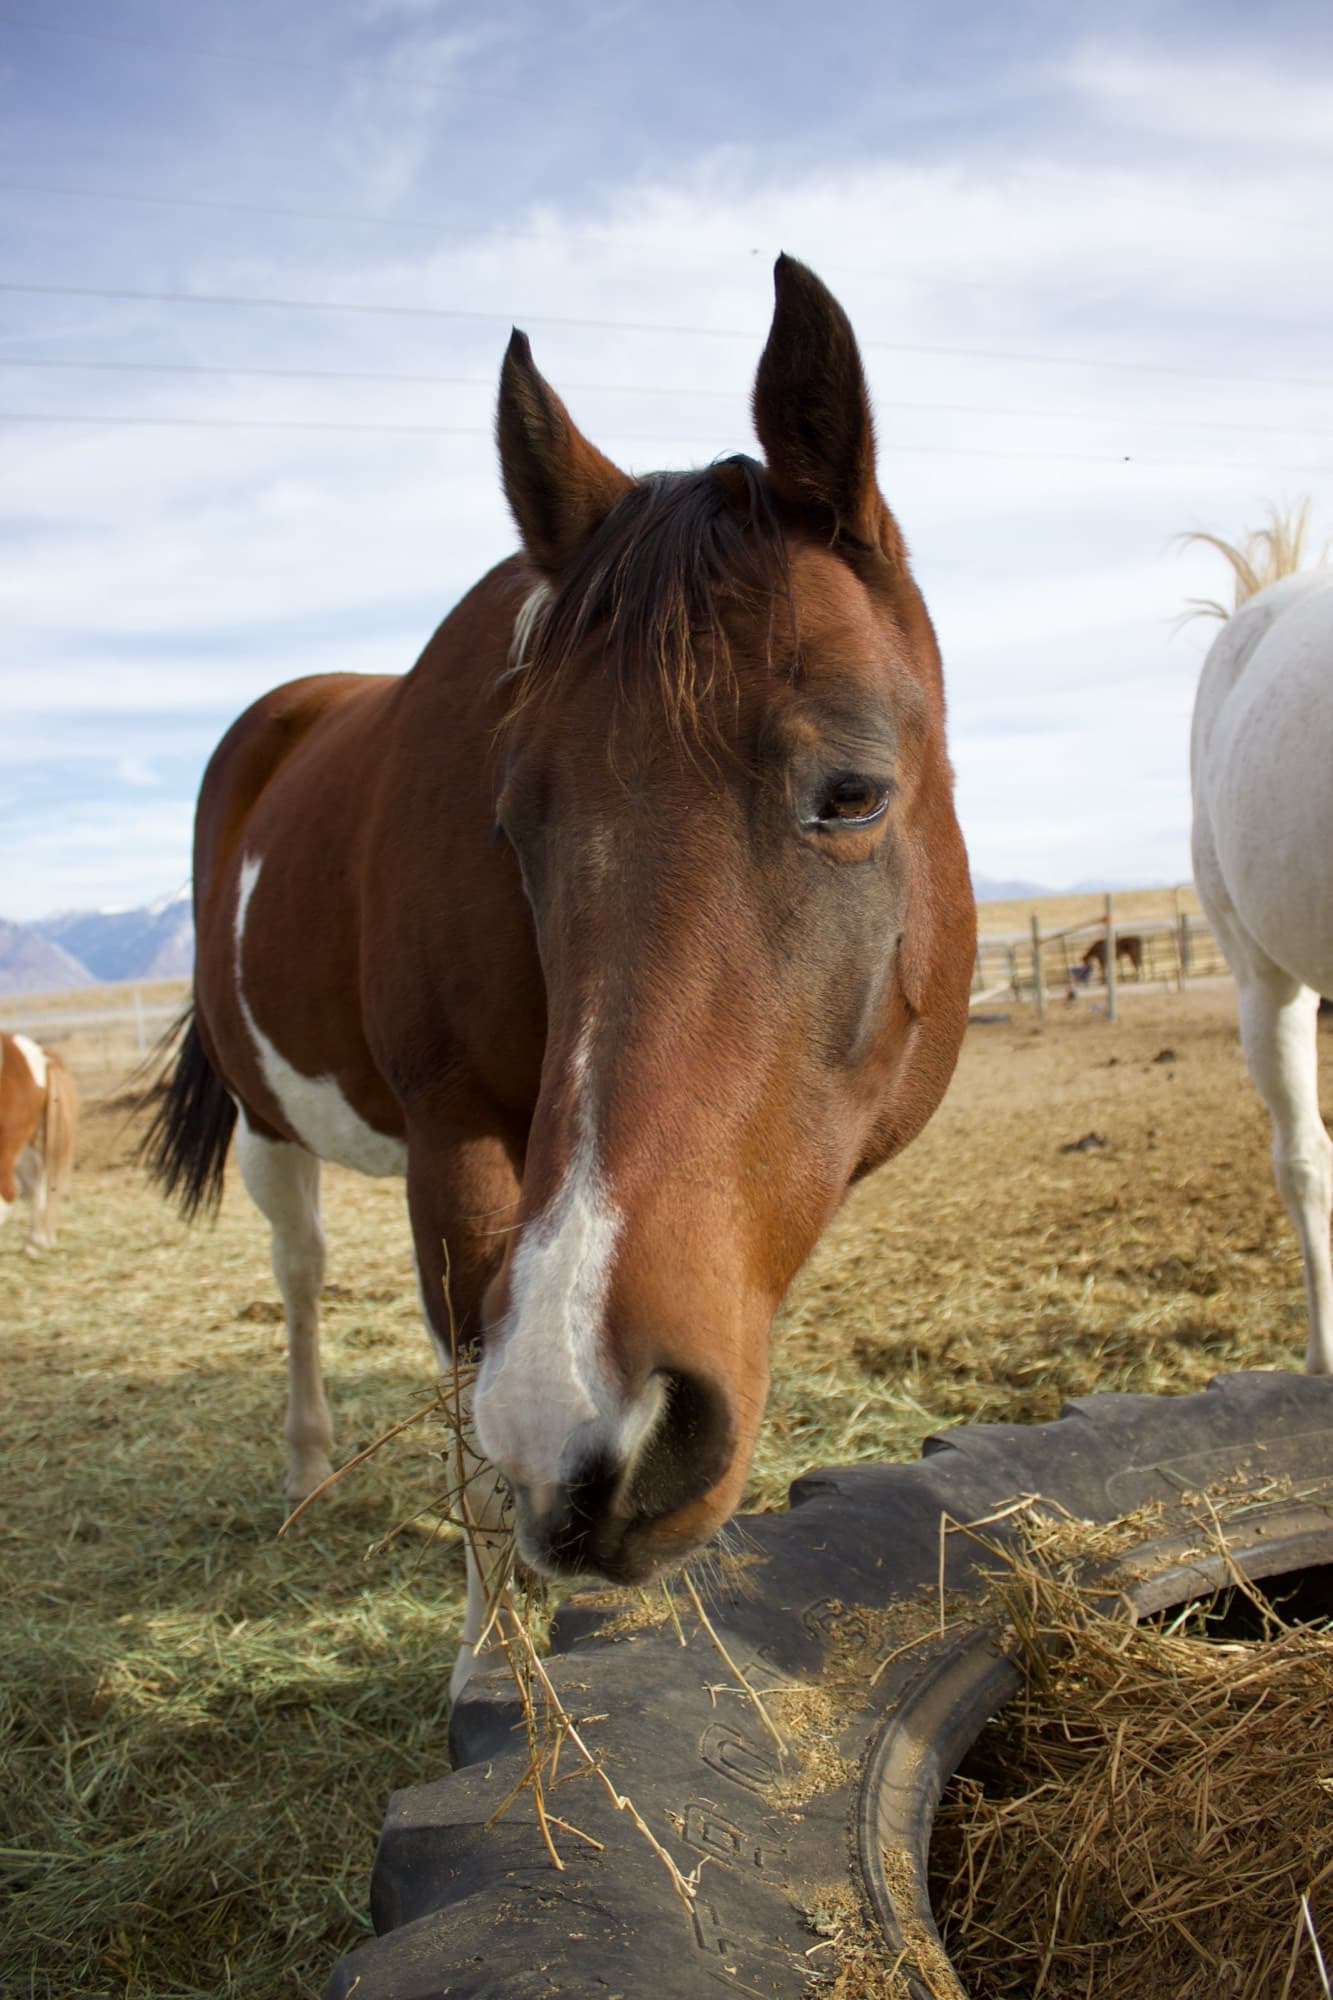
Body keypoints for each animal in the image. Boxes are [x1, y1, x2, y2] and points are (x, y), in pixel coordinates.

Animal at [143, 255, 976, 1692]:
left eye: (855, 791)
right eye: (511, 825)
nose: (595, 1427)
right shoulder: (456, 1145)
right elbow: (472, 1396)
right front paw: (491, 1664)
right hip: (268, 1120)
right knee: (302, 1269)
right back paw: (310, 1468)